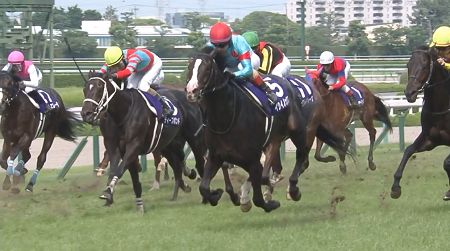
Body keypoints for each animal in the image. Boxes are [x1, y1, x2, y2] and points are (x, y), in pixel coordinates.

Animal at [81, 70, 207, 210]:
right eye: (85, 89)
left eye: (99, 89)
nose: (85, 113)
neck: (125, 111)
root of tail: (190, 98)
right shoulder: (118, 147)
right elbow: (122, 173)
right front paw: (138, 206)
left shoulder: (134, 145)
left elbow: (119, 170)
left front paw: (108, 192)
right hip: (169, 143)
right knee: (178, 163)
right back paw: (185, 181)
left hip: (193, 138)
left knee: (199, 162)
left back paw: (204, 193)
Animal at [185, 45, 348, 212]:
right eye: (190, 68)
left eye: (207, 68)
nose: (191, 91)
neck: (227, 117)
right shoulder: (216, 156)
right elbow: (205, 187)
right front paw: (220, 194)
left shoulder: (252, 158)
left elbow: (260, 186)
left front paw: (257, 197)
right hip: (276, 138)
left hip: (303, 130)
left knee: (301, 158)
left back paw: (292, 190)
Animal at [388, 44, 450, 198]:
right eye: (408, 65)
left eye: (424, 66)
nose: (409, 93)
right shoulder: (430, 139)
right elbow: (408, 150)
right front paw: (395, 187)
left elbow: (447, 162)